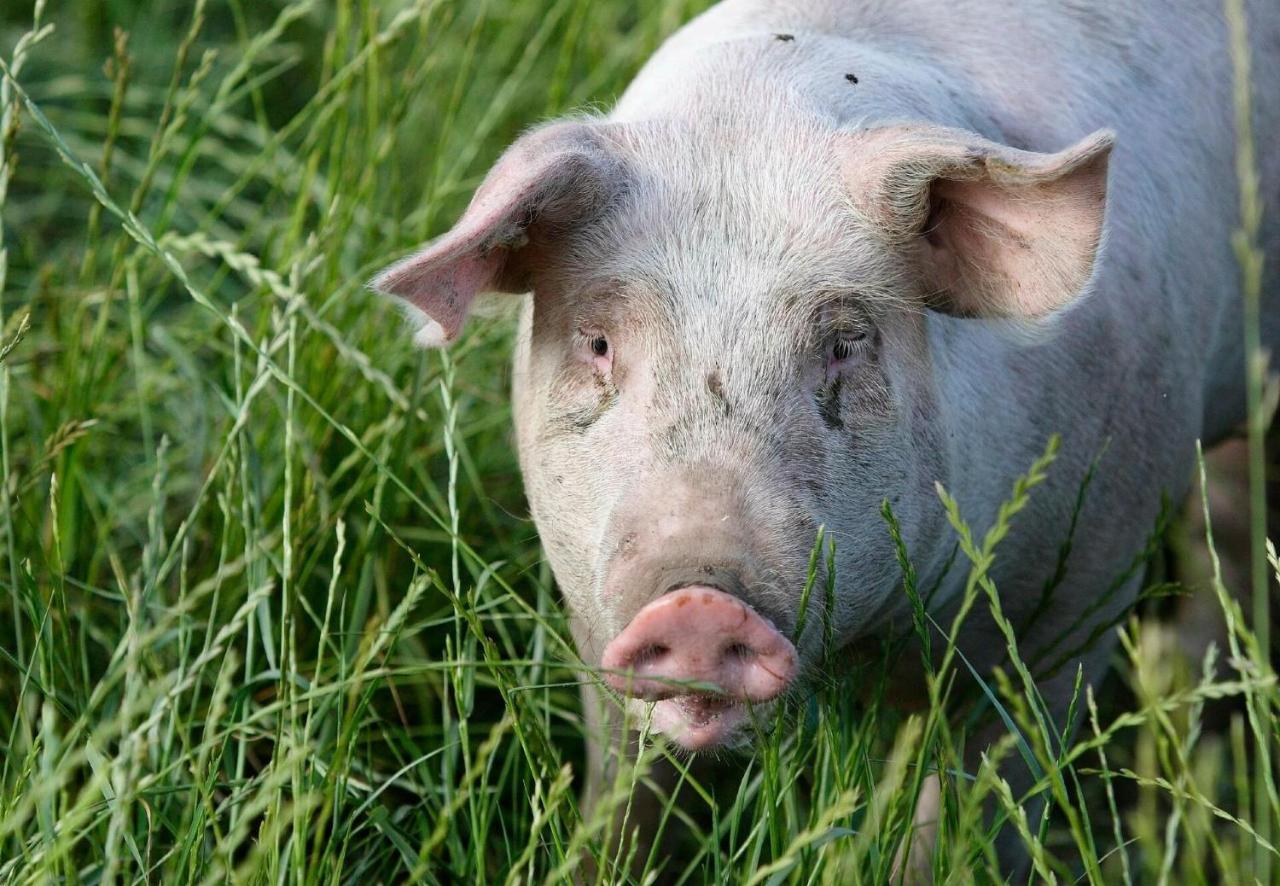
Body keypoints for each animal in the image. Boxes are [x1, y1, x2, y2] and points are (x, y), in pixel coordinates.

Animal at [371, 0, 1280, 870]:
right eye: (597, 342)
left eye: (846, 342)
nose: (699, 601)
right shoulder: (593, 619)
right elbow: (628, 796)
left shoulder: (1075, 599)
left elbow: (977, 816)